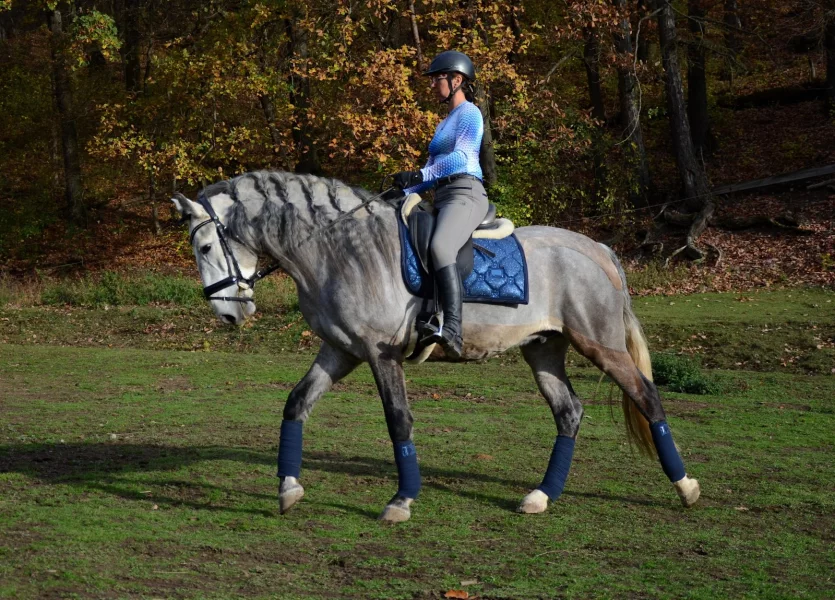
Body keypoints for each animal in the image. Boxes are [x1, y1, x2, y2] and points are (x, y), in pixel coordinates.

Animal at [173, 171, 704, 524]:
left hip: (600, 346)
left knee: (647, 397)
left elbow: (398, 421)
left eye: (205, 248)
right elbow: (296, 404)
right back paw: (541, 496)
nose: (228, 315)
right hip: (543, 349)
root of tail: (599, 249)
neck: (339, 249)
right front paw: (288, 488)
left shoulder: (380, 354)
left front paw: (401, 500)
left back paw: (686, 487)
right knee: (569, 411)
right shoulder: (340, 351)